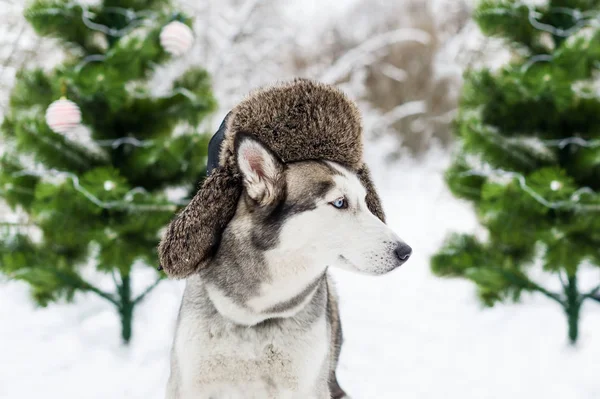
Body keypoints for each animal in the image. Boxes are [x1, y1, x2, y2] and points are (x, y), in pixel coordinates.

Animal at [165, 135, 412, 399]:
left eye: (365, 202)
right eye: (340, 202)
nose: (405, 251)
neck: (257, 314)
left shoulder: (307, 386)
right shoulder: (189, 384)